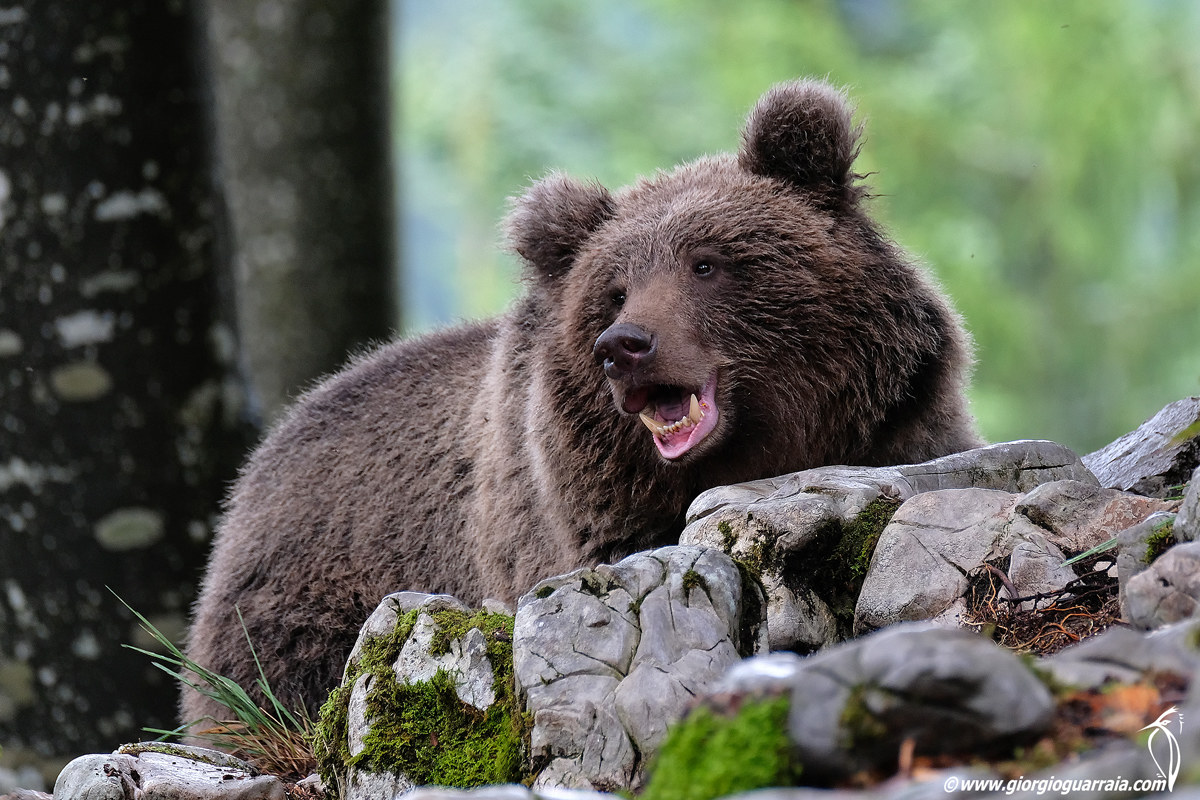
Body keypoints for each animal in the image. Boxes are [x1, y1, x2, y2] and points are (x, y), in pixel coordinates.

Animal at [181, 78, 982, 725]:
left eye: (706, 262)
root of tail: (260, 461)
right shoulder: (575, 512)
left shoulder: (902, 431)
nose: (623, 345)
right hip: (301, 597)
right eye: (617, 289)